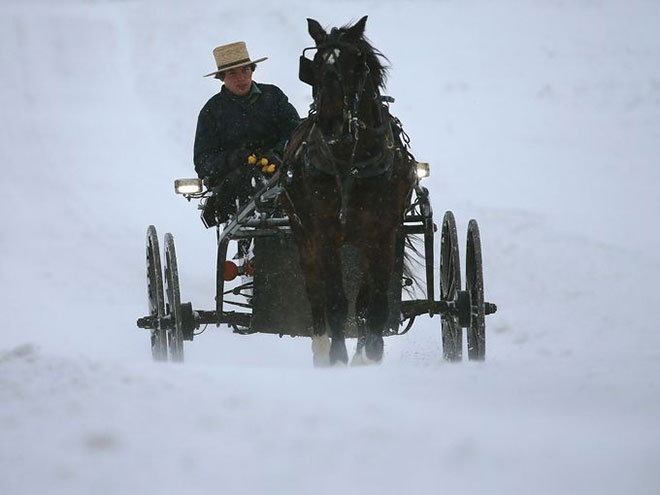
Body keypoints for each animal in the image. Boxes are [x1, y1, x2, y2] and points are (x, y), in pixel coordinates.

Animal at [284, 16, 418, 364]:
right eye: (316, 63)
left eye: (355, 64)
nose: (329, 122)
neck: (351, 161)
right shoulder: (325, 232)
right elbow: (334, 299)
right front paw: (337, 358)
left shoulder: (383, 233)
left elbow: (375, 302)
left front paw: (369, 354)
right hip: (303, 232)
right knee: (315, 290)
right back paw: (320, 348)